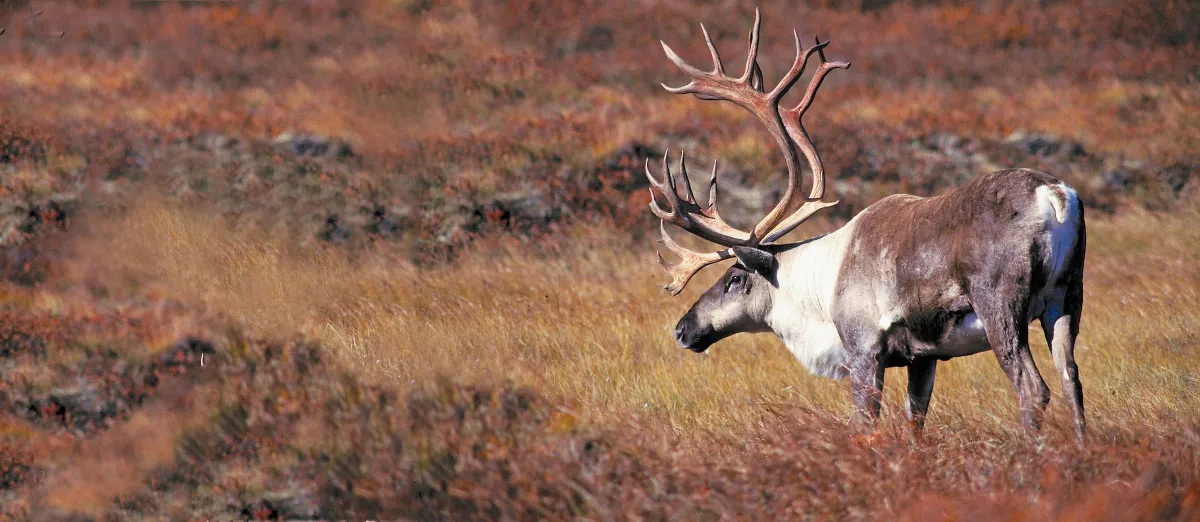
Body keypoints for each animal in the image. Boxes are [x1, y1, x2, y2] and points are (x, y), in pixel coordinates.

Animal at [647, 10, 1087, 440]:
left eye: (734, 278)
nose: (682, 329)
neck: (820, 289)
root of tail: (1054, 196)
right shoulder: (924, 357)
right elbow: (915, 421)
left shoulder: (863, 349)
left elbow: (864, 422)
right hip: (1066, 300)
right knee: (1071, 380)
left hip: (1001, 307)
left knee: (1033, 387)